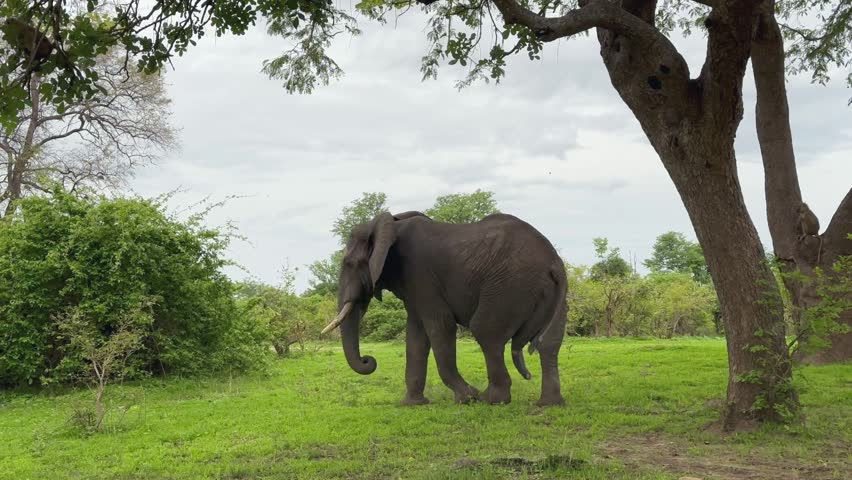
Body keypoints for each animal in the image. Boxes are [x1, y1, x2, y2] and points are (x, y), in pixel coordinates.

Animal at [321, 210, 568, 406]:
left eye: (349, 264)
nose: (368, 360)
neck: (391, 225)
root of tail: (553, 262)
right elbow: (416, 335)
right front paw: (412, 404)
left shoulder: (420, 273)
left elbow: (440, 326)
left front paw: (467, 398)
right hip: (552, 292)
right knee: (549, 342)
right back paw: (549, 404)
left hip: (509, 284)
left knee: (486, 332)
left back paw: (491, 399)